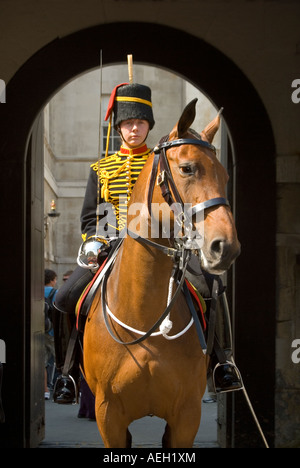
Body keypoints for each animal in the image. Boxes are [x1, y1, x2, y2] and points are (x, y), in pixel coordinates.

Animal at [82, 98, 241, 446]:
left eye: (225, 174)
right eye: (187, 168)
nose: (226, 247)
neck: (145, 317)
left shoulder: (186, 415)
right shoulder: (108, 416)